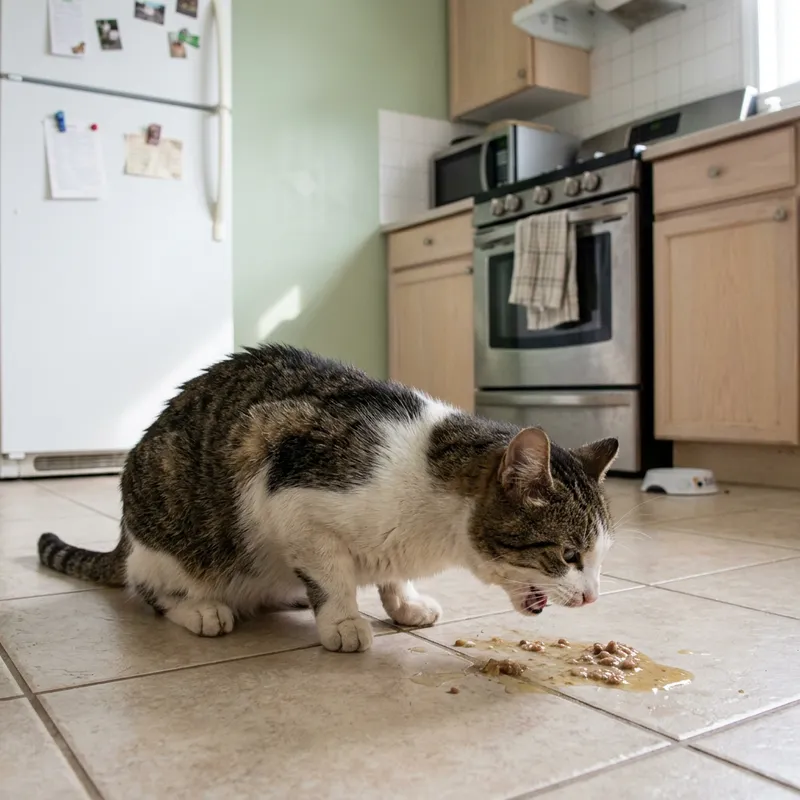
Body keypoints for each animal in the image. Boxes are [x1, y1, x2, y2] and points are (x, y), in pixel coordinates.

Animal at [38, 344, 618, 653]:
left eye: (599, 558)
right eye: (569, 555)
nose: (593, 598)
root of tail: (124, 536)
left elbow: (390, 576)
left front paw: (403, 602)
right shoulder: (288, 495)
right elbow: (331, 573)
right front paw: (341, 621)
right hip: (171, 514)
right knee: (151, 588)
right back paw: (202, 608)